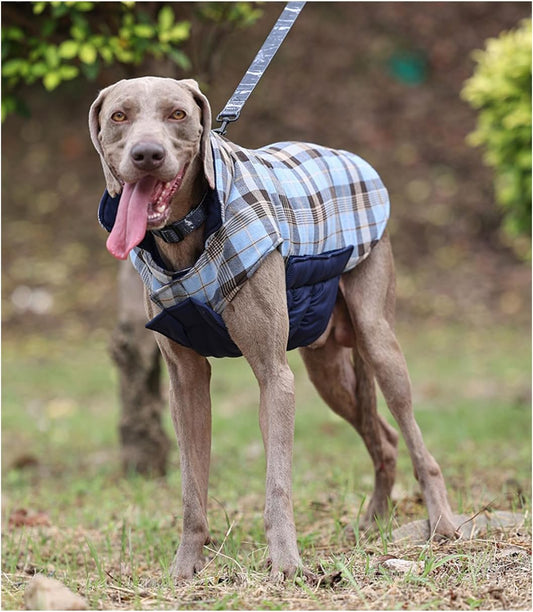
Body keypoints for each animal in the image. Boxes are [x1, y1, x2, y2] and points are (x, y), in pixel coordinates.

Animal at [88, 76, 458, 580]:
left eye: (177, 114)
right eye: (119, 117)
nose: (147, 154)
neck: (188, 234)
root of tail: (353, 157)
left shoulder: (274, 375)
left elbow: (277, 484)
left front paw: (286, 564)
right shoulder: (185, 383)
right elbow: (190, 490)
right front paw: (185, 567)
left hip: (377, 337)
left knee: (414, 437)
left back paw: (442, 523)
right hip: (329, 371)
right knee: (383, 438)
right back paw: (373, 522)